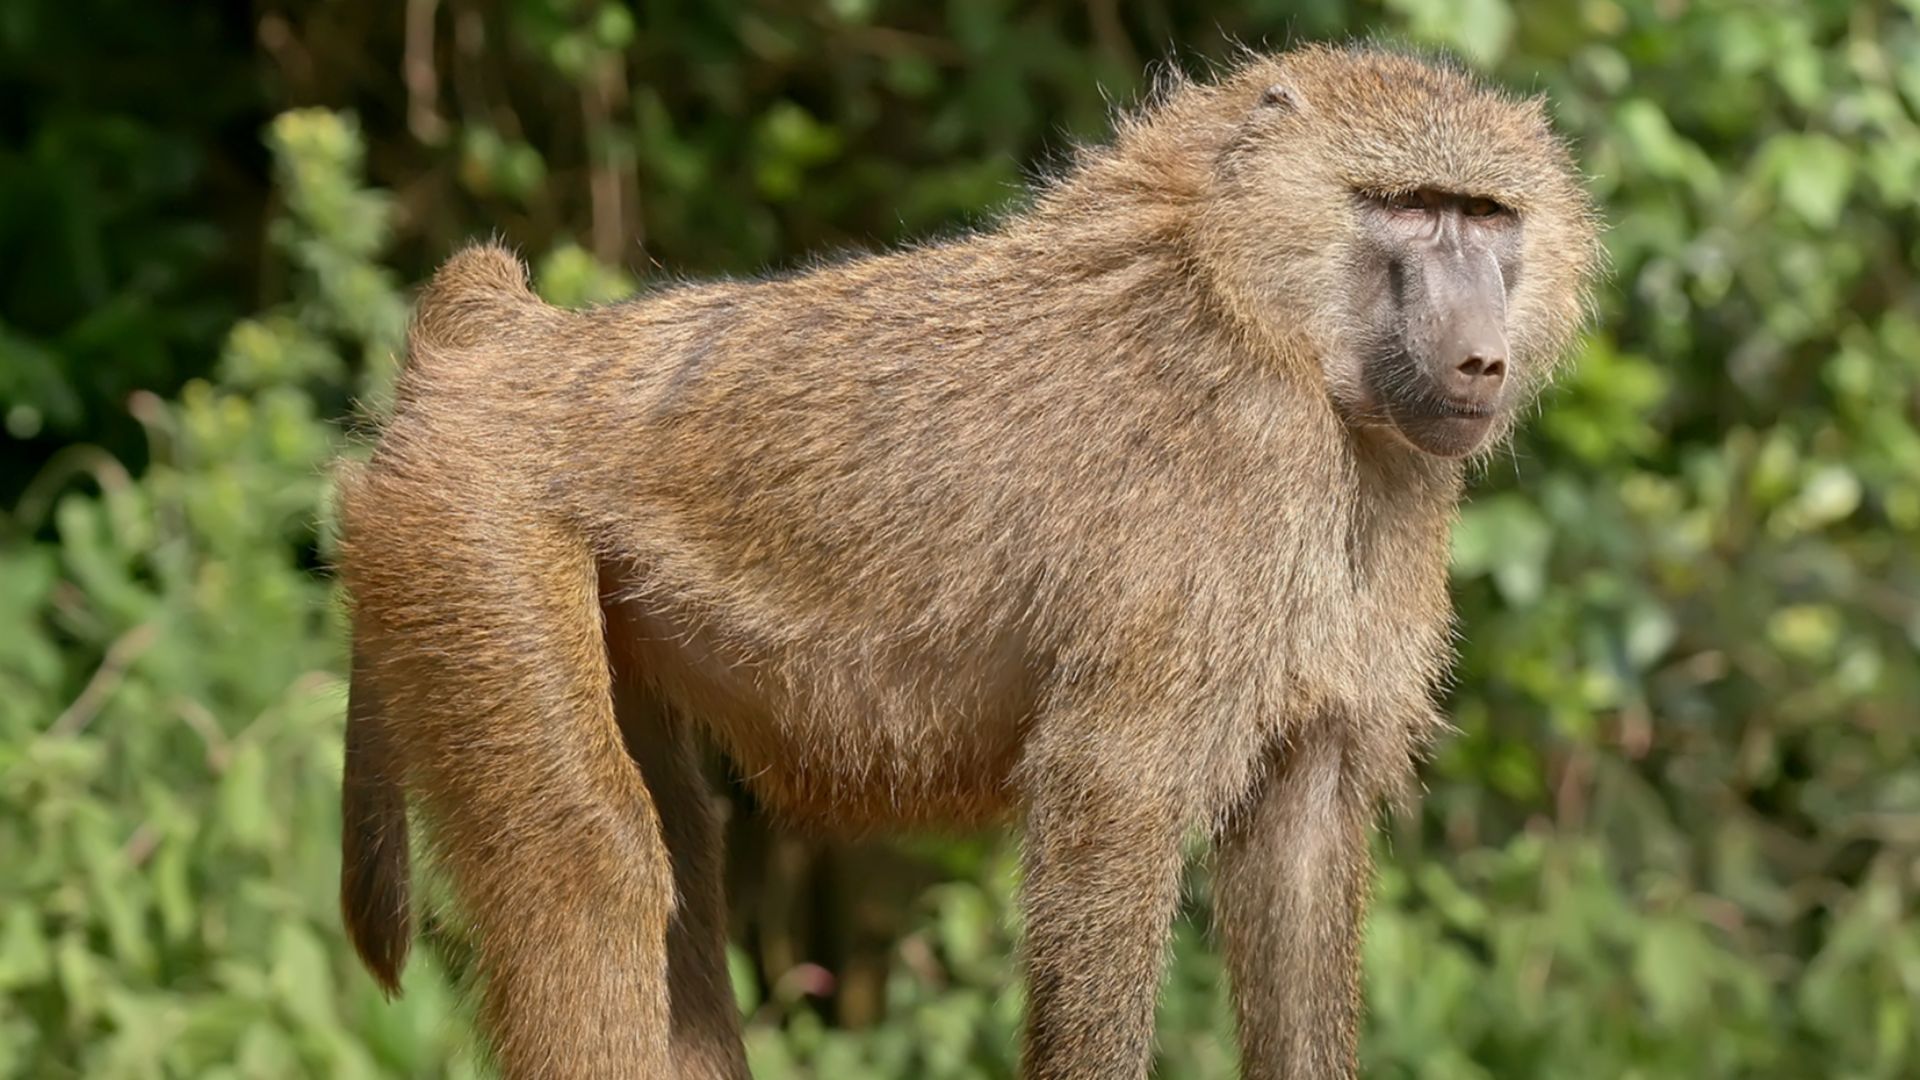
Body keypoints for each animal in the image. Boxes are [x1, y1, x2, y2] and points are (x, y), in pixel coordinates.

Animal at [334, 42, 1601, 1080]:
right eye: (1411, 208)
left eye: (1487, 215)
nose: (1480, 360)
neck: (1267, 316)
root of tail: (507, 347)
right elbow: (1110, 797)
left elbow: (1304, 840)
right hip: (471, 530)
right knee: (592, 870)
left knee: (678, 881)